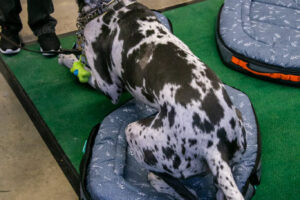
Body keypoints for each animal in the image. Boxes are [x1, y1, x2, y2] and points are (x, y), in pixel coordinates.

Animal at [70, 0, 246, 199]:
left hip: (133, 133)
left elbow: (86, 73)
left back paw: (157, 181)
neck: (109, 6)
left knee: (179, 188)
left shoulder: (110, 87)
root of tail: (216, 146)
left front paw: (68, 59)